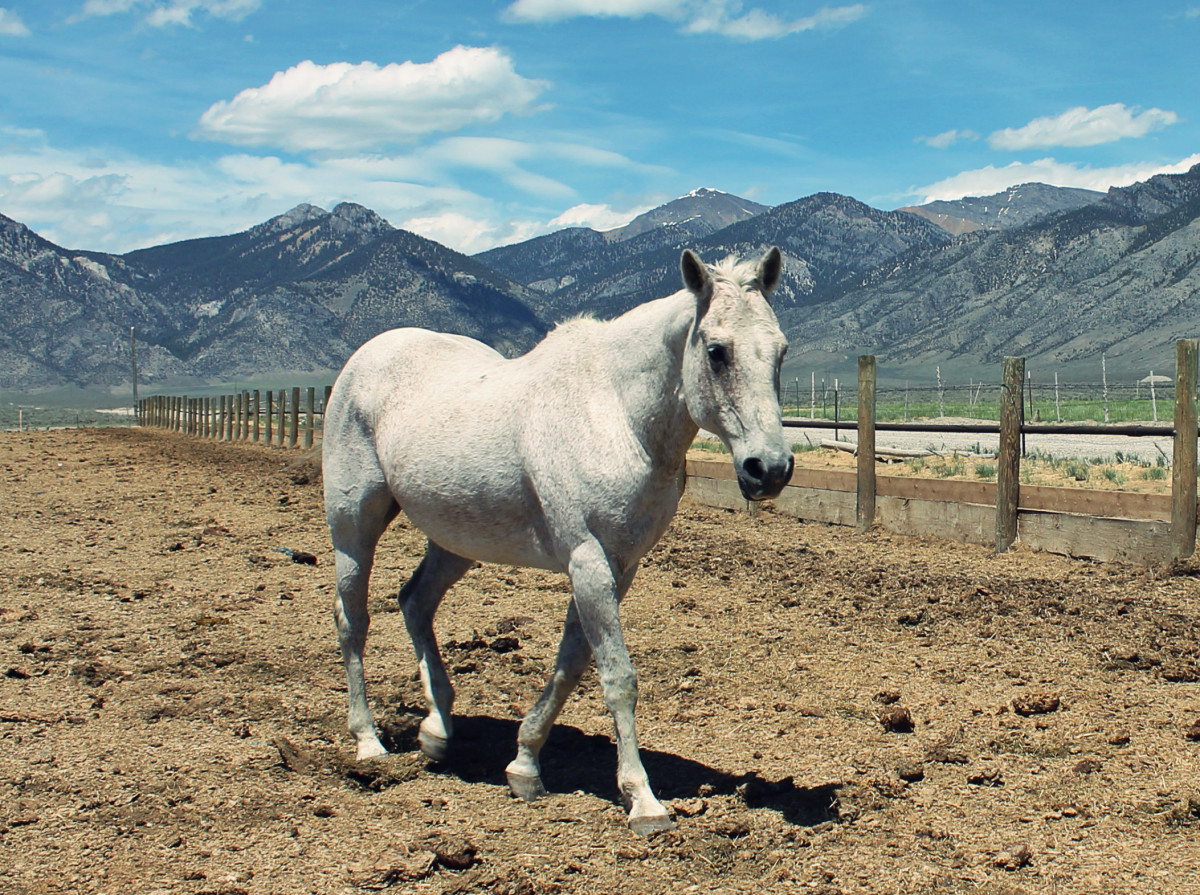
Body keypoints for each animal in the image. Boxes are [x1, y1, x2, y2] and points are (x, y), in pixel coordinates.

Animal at [326, 243, 796, 830]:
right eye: (716, 352)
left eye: (780, 352)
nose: (769, 469)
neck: (616, 413)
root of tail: (365, 358)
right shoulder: (588, 561)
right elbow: (617, 677)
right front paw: (643, 800)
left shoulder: (619, 566)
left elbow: (571, 664)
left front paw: (525, 764)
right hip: (353, 526)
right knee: (353, 621)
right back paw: (369, 742)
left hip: (457, 541)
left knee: (414, 601)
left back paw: (437, 729)